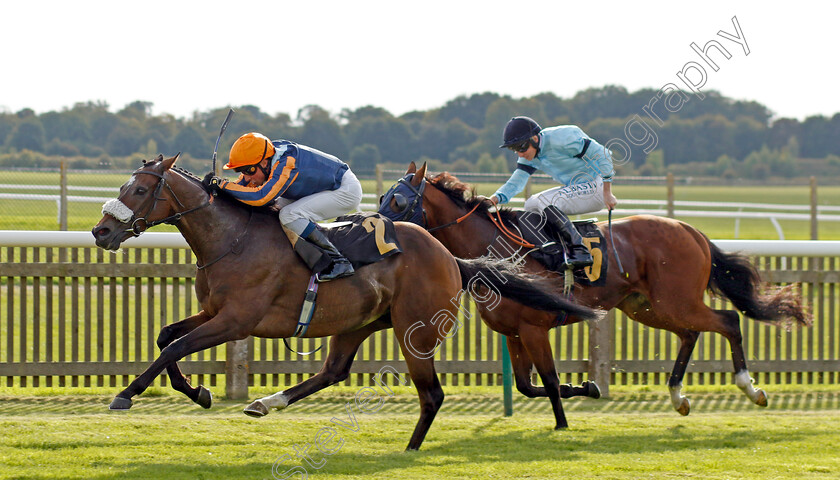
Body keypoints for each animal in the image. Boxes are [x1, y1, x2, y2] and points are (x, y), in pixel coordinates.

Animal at [378, 162, 812, 416]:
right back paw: (678, 396)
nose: (377, 228)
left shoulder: (535, 328)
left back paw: (750, 388)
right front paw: (587, 386)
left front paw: (565, 417)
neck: (496, 247)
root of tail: (691, 229)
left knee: (728, 320)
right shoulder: (514, 334)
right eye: (383, 196)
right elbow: (527, 386)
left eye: (397, 200)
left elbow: (549, 382)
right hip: (648, 307)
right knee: (691, 334)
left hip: (677, 300)